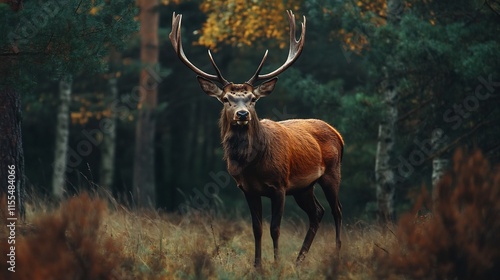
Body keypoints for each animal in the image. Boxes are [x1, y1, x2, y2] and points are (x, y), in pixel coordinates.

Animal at [169, 10, 344, 266]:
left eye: (252, 98)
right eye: (226, 99)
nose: (242, 114)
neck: (253, 165)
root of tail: (338, 134)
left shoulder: (280, 186)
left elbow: (275, 229)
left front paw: (276, 264)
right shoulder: (248, 189)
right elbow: (257, 229)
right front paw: (258, 265)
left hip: (331, 173)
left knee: (337, 211)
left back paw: (337, 254)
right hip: (304, 187)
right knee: (317, 212)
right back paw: (299, 260)